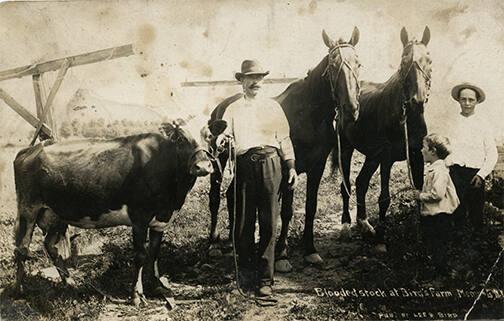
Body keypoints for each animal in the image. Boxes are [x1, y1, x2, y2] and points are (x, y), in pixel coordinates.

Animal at [207, 28, 360, 272]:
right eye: (333, 65)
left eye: (358, 64)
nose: (351, 109)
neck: (309, 114)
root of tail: (219, 109)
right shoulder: (290, 168)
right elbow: (287, 211)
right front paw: (282, 255)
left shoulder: (316, 167)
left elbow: (310, 207)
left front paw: (310, 250)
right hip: (218, 163)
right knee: (215, 198)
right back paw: (213, 244)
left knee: (232, 196)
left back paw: (233, 242)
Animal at [334, 26, 434, 242]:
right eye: (404, 62)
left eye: (429, 61)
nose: (417, 101)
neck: (405, 117)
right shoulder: (386, 158)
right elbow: (384, 198)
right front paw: (382, 233)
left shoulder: (416, 155)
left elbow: (419, 190)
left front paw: (421, 233)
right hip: (346, 149)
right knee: (346, 187)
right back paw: (346, 225)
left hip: (372, 156)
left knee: (361, 182)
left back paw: (363, 224)